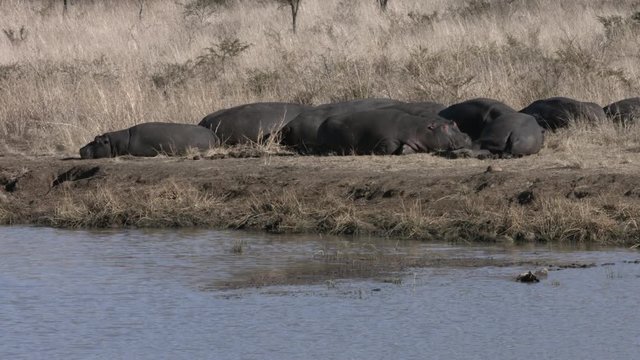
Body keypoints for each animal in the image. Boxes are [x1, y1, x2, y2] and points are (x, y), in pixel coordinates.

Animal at [316, 109, 472, 155]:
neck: (419, 128)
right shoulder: (387, 139)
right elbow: (389, 147)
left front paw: (404, 149)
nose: (466, 136)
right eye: (444, 127)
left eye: (454, 122)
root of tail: (323, 122)